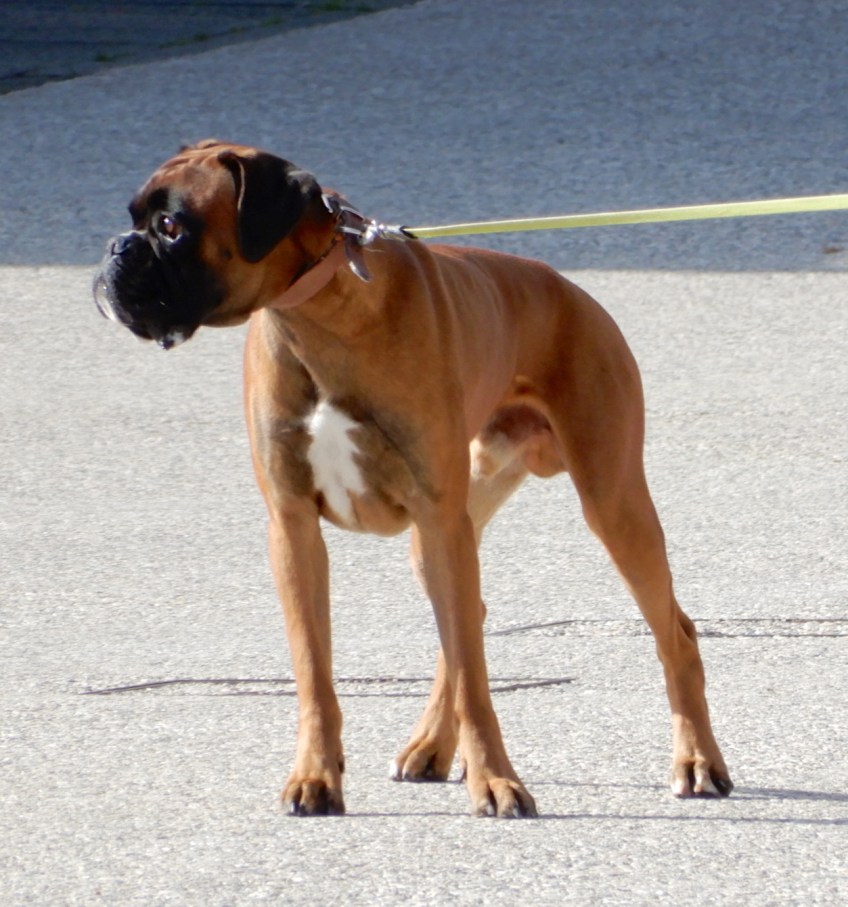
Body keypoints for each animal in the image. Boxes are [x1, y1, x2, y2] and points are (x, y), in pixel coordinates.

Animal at [94, 140, 732, 817]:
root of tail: (573, 293)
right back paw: (431, 745)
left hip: (605, 505)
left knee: (672, 635)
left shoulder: (436, 516)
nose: (116, 247)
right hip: (439, 540)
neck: (320, 315)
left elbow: (478, 686)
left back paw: (697, 760)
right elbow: (315, 673)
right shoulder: (294, 528)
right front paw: (315, 775)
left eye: (171, 227)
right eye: (136, 218)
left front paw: (496, 781)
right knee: (467, 624)